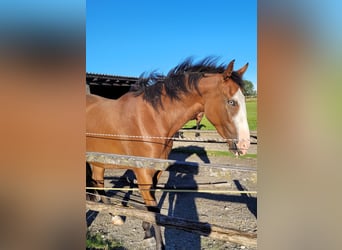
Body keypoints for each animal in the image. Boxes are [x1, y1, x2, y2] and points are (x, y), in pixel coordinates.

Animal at [87, 57, 250, 250]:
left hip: (98, 162)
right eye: (231, 102)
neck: (150, 120)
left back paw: (115, 215)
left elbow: (152, 205)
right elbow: (153, 209)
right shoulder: (142, 173)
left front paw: (146, 232)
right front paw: (157, 243)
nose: (244, 144)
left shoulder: (156, 171)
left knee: (98, 183)